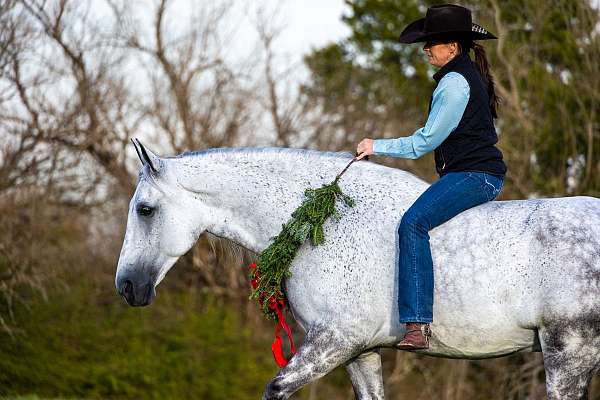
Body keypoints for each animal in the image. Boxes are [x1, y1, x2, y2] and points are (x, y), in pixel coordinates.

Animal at [115, 143, 596, 400]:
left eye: (145, 209)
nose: (127, 286)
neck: (325, 221)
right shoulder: (359, 353)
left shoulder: (333, 341)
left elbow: (276, 388)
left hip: (568, 356)